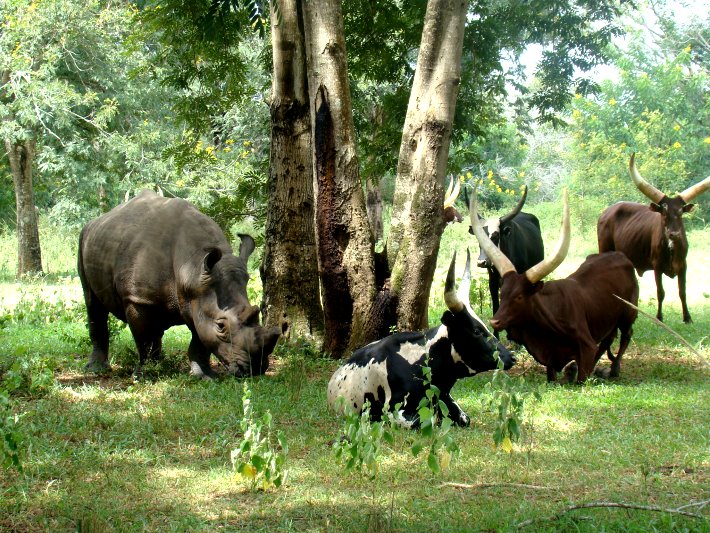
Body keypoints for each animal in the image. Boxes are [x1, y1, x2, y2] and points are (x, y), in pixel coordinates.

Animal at [79, 190, 286, 378]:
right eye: (221, 326)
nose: (256, 369)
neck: (192, 268)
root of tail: (98, 219)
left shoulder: (199, 293)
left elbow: (201, 339)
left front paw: (205, 376)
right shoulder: (137, 299)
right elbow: (143, 339)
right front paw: (145, 374)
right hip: (84, 237)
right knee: (92, 303)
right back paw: (97, 369)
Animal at [326, 249, 516, 428]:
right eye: (476, 331)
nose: (511, 357)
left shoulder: (446, 399)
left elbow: (464, 418)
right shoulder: (394, 411)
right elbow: (423, 421)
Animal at [596, 152, 708, 322]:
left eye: (681, 212)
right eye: (663, 212)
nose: (674, 234)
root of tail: (606, 212)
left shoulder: (683, 265)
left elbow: (682, 292)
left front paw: (687, 317)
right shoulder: (657, 266)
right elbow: (660, 292)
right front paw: (659, 317)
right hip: (604, 249)